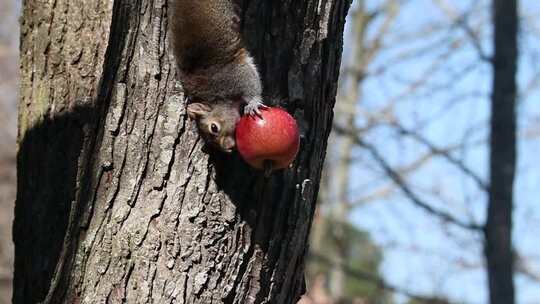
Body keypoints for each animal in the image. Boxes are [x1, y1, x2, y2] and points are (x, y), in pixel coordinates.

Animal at [170, 0, 264, 152]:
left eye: (214, 127)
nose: (228, 148)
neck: (216, 99)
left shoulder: (232, 76)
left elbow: (251, 84)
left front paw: (253, 104)